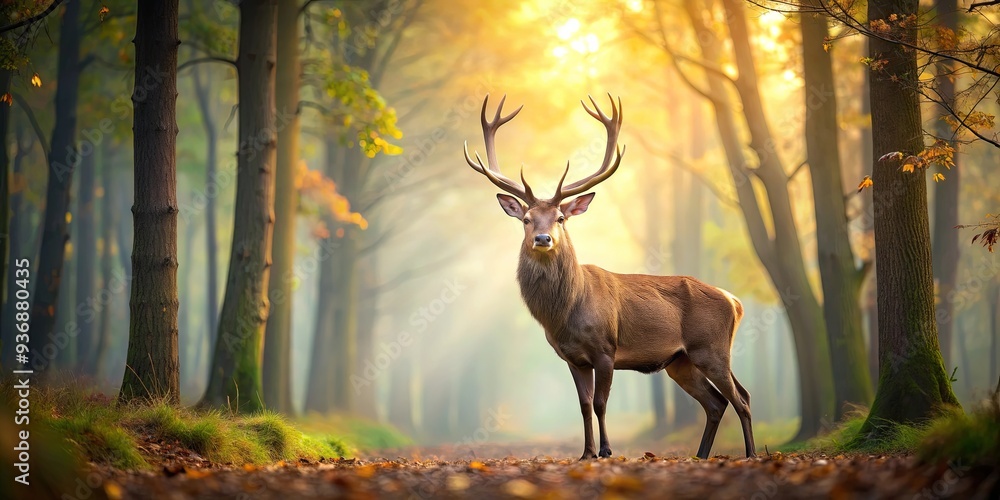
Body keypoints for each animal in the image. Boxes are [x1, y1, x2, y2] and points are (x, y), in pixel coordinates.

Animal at [463, 94, 756, 460]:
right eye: (526, 219)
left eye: (561, 218)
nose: (543, 239)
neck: (566, 313)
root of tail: (734, 301)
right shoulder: (572, 357)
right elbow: (584, 405)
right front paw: (586, 452)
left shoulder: (606, 348)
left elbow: (601, 403)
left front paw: (605, 450)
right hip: (680, 361)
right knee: (716, 402)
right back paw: (701, 455)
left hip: (711, 346)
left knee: (742, 398)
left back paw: (751, 454)